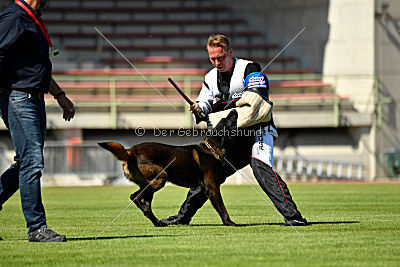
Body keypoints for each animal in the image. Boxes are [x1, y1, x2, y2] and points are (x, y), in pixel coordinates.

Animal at [99, 110, 252, 227]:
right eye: (230, 122)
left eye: (225, 119)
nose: (234, 110)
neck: (212, 148)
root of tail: (131, 151)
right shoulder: (212, 188)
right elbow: (222, 209)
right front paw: (230, 223)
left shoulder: (203, 188)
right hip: (160, 179)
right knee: (134, 196)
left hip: (151, 184)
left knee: (146, 204)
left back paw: (157, 222)